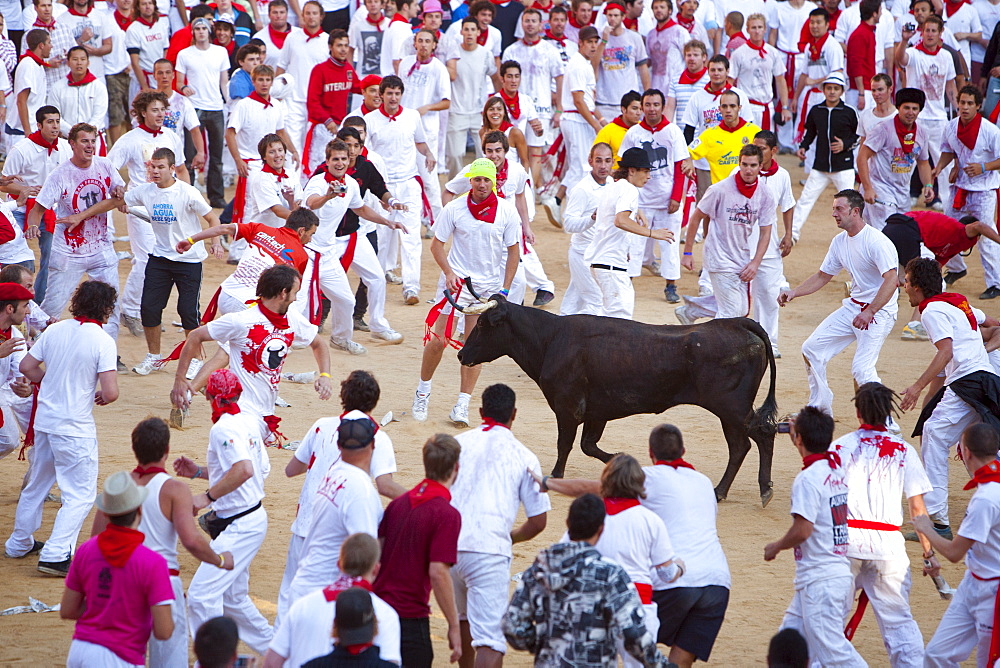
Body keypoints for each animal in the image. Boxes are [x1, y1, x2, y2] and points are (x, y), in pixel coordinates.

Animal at [456, 298, 780, 506]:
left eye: (483, 324)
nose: (461, 354)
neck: (551, 339)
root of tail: (739, 323)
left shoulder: (567, 407)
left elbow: (566, 444)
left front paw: (556, 477)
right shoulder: (596, 412)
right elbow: (588, 445)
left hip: (731, 407)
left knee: (760, 436)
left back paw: (760, 490)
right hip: (729, 411)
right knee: (740, 446)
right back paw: (721, 491)